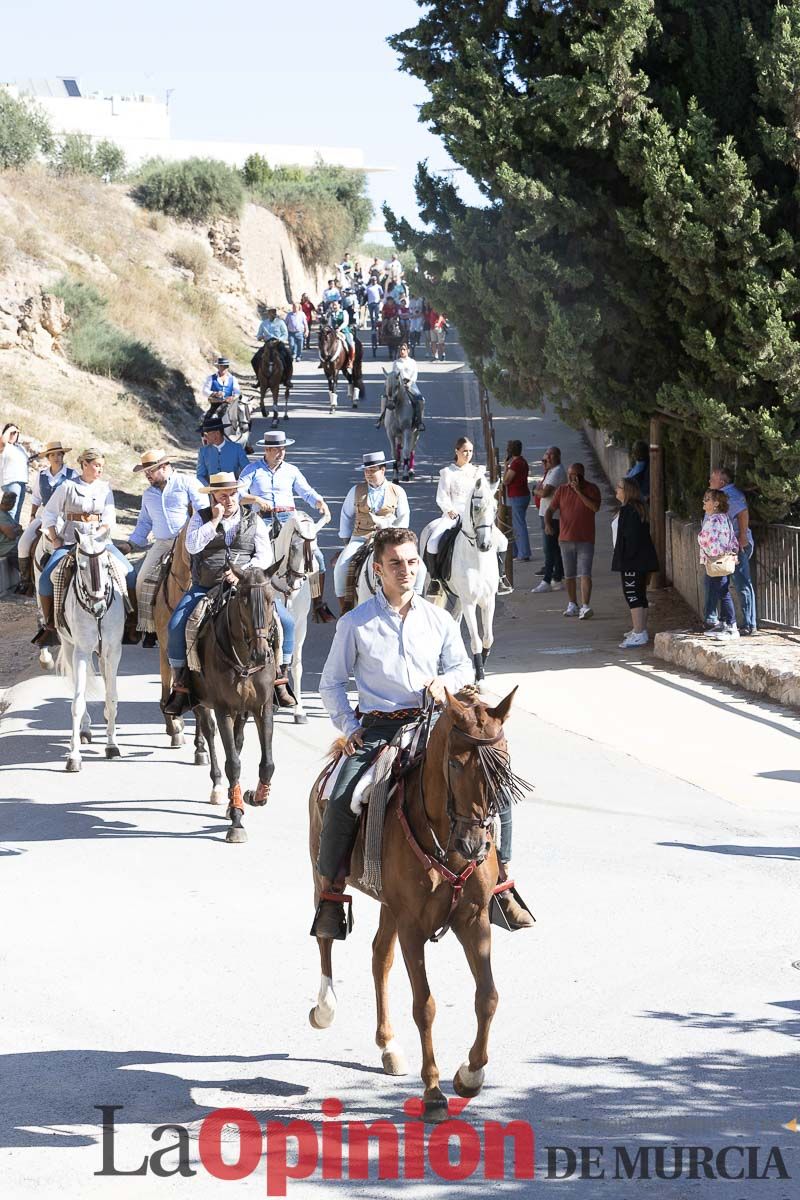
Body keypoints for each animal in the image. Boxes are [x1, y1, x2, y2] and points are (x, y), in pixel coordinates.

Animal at [55, 530, 125, 772]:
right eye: (82, 566)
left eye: (106, 565)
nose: (98, 607)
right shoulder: (81, 652)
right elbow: (77, 701)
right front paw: (74, 756)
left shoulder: (113, 651)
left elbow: (112, 697)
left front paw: (112, 746)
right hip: (69, 648)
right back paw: (84, 730)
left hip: (103, 655)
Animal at [272, 508, 328, 720]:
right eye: (295, 548)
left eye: (315, 547)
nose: (297, 582)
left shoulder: (300, 624)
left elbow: (296, 665)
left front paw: (299, 710)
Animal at [307, 686, 520, 1123]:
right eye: (454, 764)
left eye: (502, 763)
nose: (475, 846)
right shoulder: (412, 927)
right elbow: (425, 1005)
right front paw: (434, 1092)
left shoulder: (473, 920)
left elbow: (488, 996)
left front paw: (470, 1075)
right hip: (324, 875)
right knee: (325, 935)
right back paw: (324, 1008)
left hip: (389, 906)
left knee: (379, 958)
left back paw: (388, 1045)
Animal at [419, 472, 501, 691]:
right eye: (477, 507)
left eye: (495, 508)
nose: (485, 545)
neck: (477, 559)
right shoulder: (470, 602)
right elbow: (476, 640)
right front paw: (480, 679)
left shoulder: (488, 601)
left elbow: (488, 638)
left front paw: (477, 676)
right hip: (435, 590)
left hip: (459, 600)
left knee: (454, 623)